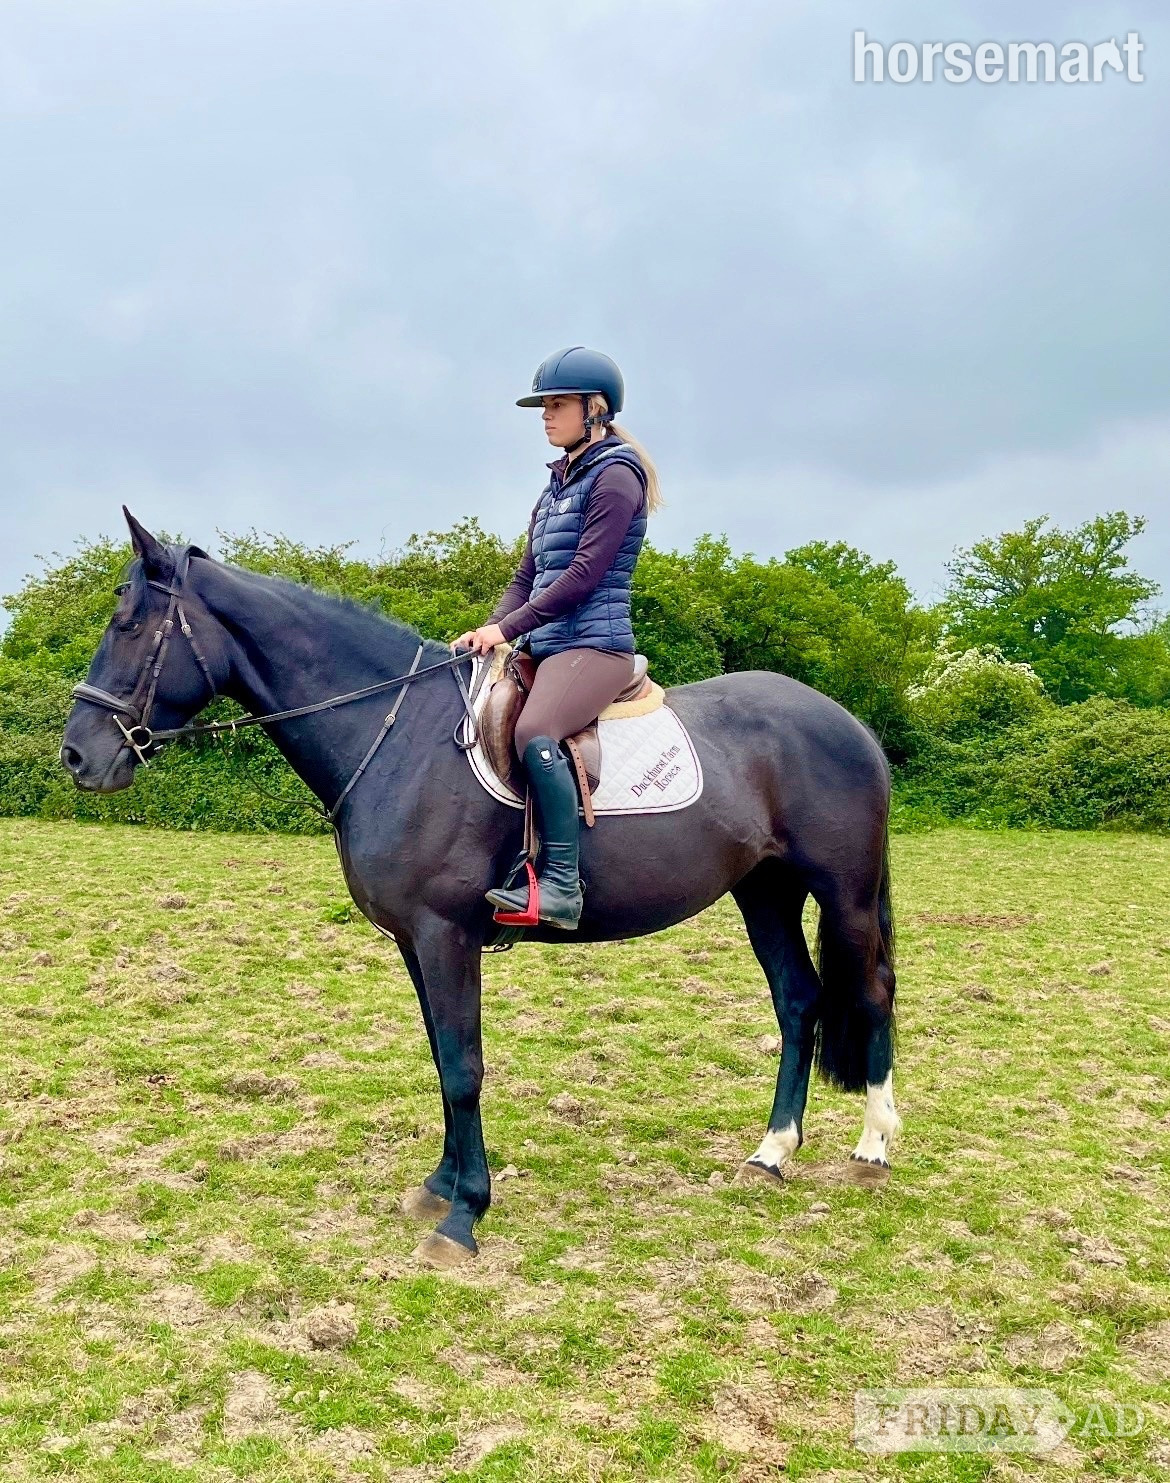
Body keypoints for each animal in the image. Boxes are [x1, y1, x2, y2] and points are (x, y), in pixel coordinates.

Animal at [59, 510, 901, 1269]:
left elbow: (464, 1069)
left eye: (129, 623)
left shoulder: (444, 933)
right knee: (798, 1000)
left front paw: (464, 1216)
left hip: (845, 895)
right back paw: (772, 1151)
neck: (394, 732)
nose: (77, 755)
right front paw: (440, 1184)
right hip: (764, 893)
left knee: (871, 994)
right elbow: (442, 1058)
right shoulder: (414, 940)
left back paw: (872, 1147)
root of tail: (848, 722)